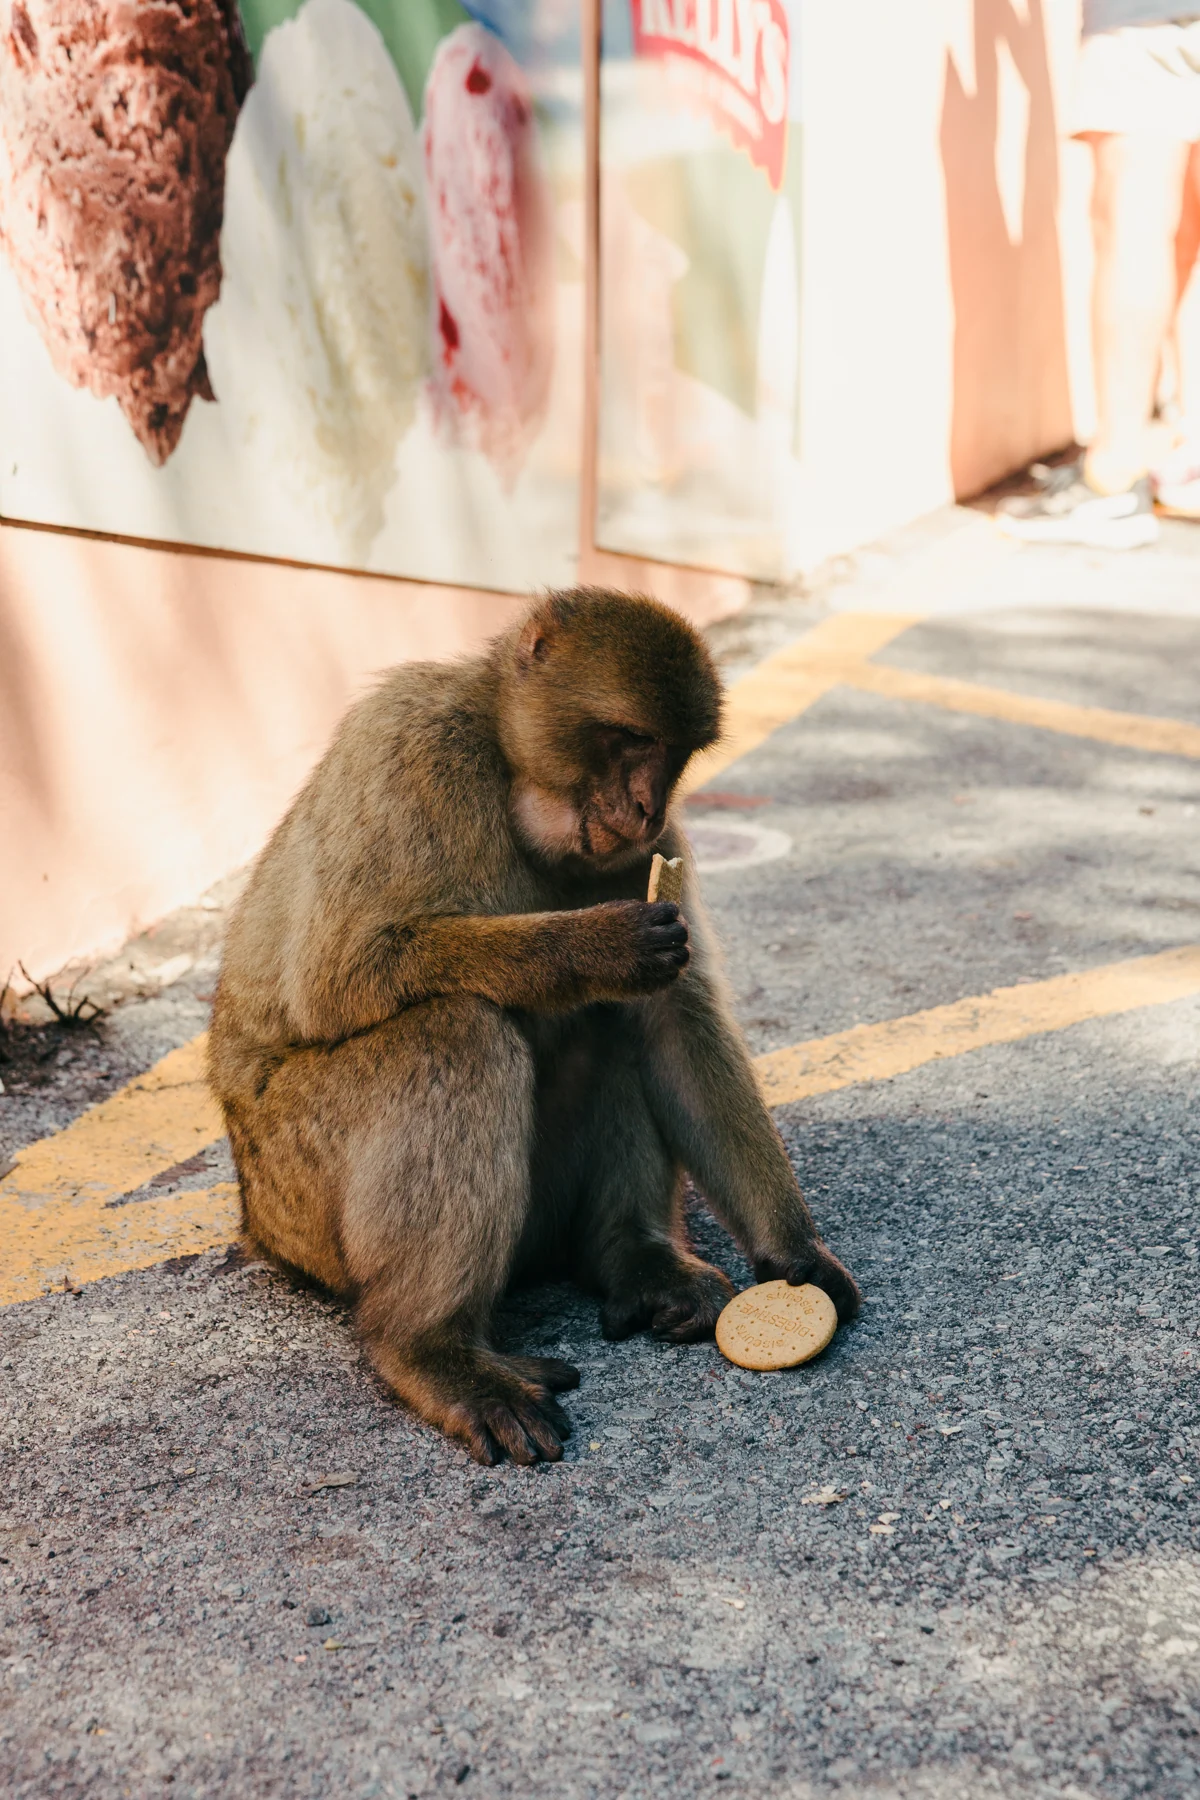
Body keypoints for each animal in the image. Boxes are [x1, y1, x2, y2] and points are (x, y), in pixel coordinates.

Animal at [208, 587, 859, 1465]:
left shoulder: (652, 853)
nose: (648, 803)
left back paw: (633, 1257)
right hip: (300, 1196)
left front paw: (795, 1256)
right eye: (630, 739)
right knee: (455, 1032)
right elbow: (337, 974)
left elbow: (675, 1021)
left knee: (614, 1029)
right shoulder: (410, 744)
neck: (509, 775)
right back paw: (432, 1350)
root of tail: (256, 1221)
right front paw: (591, 947)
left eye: (675, 753)